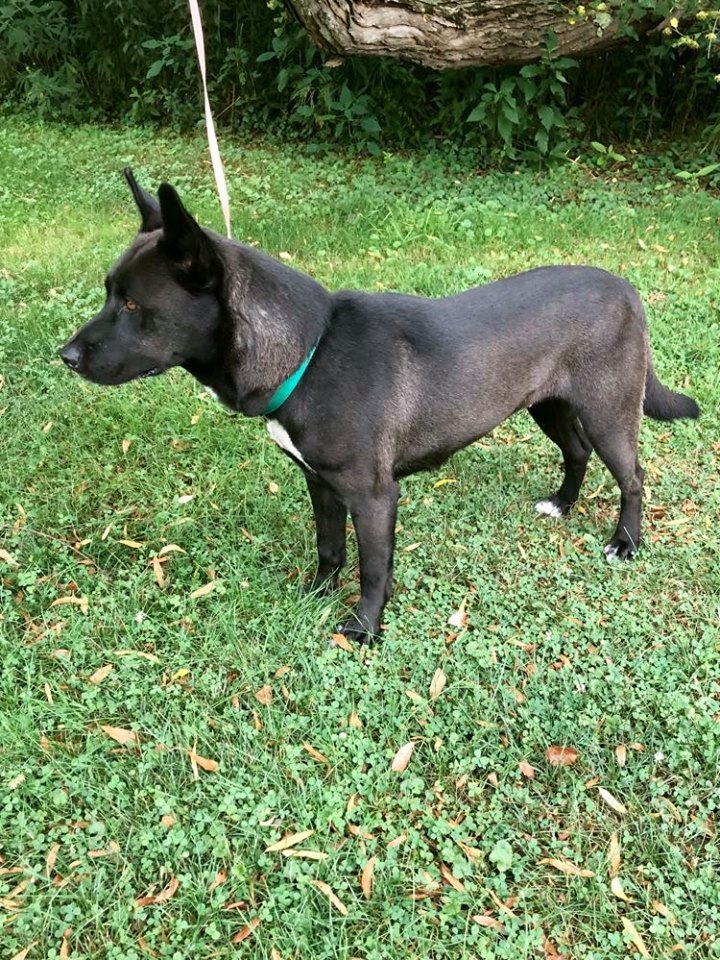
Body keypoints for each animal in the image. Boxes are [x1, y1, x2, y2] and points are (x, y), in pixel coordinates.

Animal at [59, 171, 700, 644]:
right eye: (109, 293)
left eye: (133, 305)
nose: (64, 356)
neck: (311, 349)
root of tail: (626, 288)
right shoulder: (320, 483)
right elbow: (329, 547)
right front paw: (317, 595)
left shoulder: (373, 496)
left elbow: (372, 568)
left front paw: (364, 629)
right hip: (548, 404)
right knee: (576, 451)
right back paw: (562, 504)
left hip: (607, 408)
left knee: (633, 475)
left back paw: (625, 543)